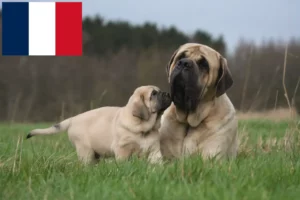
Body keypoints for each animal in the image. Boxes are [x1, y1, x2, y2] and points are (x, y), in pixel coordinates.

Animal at [27, 85, 171, 163]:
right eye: (153, 94)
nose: (168, 93)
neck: (143, 128)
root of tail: (73, 119)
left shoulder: (154, 150)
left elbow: (157, 162)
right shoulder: (122, 150)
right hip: (85, 151)